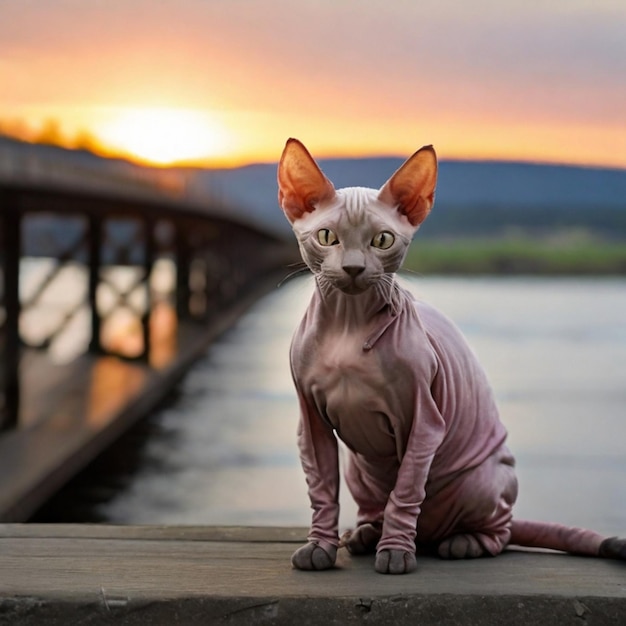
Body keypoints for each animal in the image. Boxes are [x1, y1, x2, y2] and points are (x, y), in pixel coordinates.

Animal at [276, 139, 624, 572]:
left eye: (382, 240)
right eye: (326, 237)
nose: (354, 268)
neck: (348, 323)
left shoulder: (425, 420)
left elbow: (406, 492)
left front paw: (396, 553)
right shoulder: (311, 421)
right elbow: (322, 490)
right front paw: (320, 547)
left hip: (481, 479)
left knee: (500, 531)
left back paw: (461, 542)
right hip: (360, 470)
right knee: (377, 506)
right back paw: (365, 534)